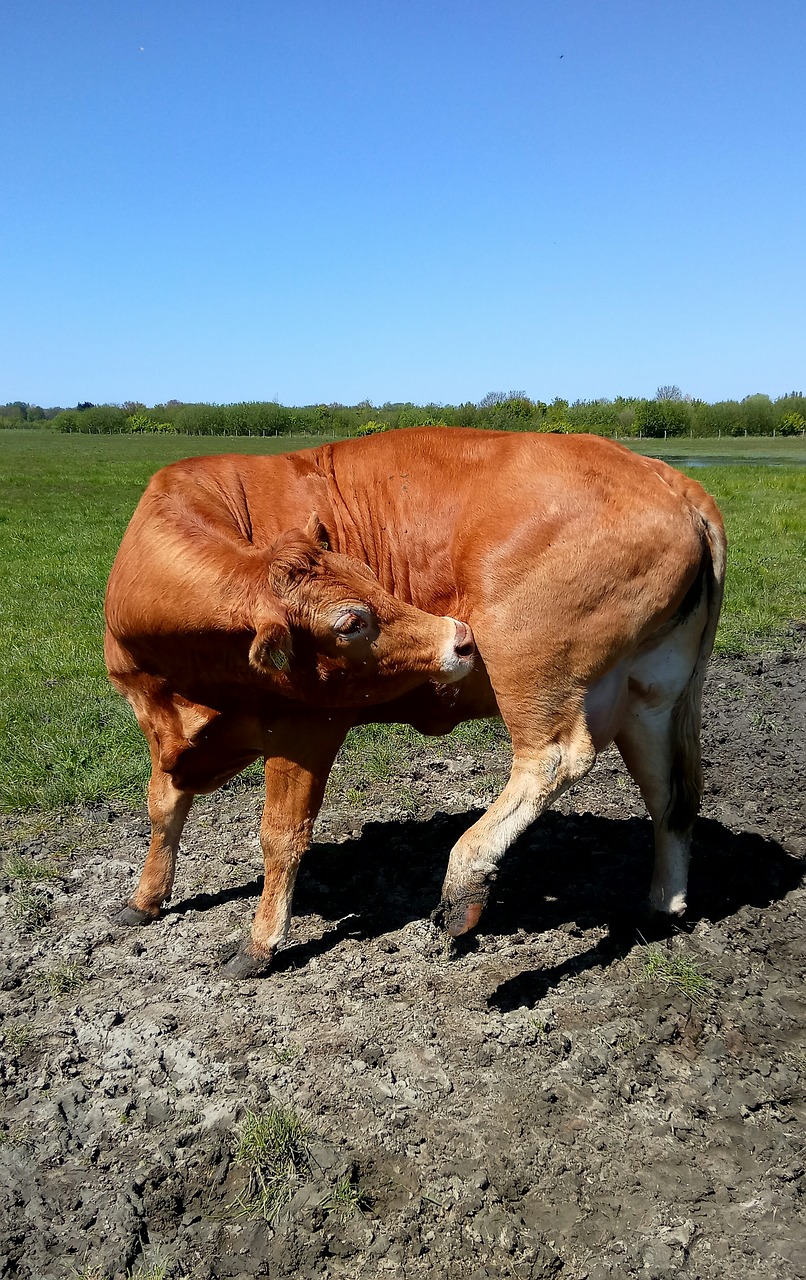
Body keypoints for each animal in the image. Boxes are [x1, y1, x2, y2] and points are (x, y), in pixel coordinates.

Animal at [104, 430, 731, 977]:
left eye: (371, 576)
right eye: (351, 621)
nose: (459, 638)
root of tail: (665, 476)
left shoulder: (307, 723)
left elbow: (281, 835)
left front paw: (258, 944)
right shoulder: (158, 724)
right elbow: (163, 807)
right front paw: (144, 899)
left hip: (531, 661)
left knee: (555, 757)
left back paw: (464, 879)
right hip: (651, 693)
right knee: (670, 794)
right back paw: (663, 906)